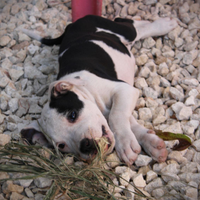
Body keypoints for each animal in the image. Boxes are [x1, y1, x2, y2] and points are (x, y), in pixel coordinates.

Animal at [21, 15, 177, 165]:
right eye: (61, 145)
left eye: (72, 115)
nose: (86, 145)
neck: (85, 90)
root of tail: (73, 24)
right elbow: (130, 123)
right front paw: (151, 144)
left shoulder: (124, 90)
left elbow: (116, 116)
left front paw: (125, 142)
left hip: (120, 30)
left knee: (131, 24)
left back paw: (164, 24)